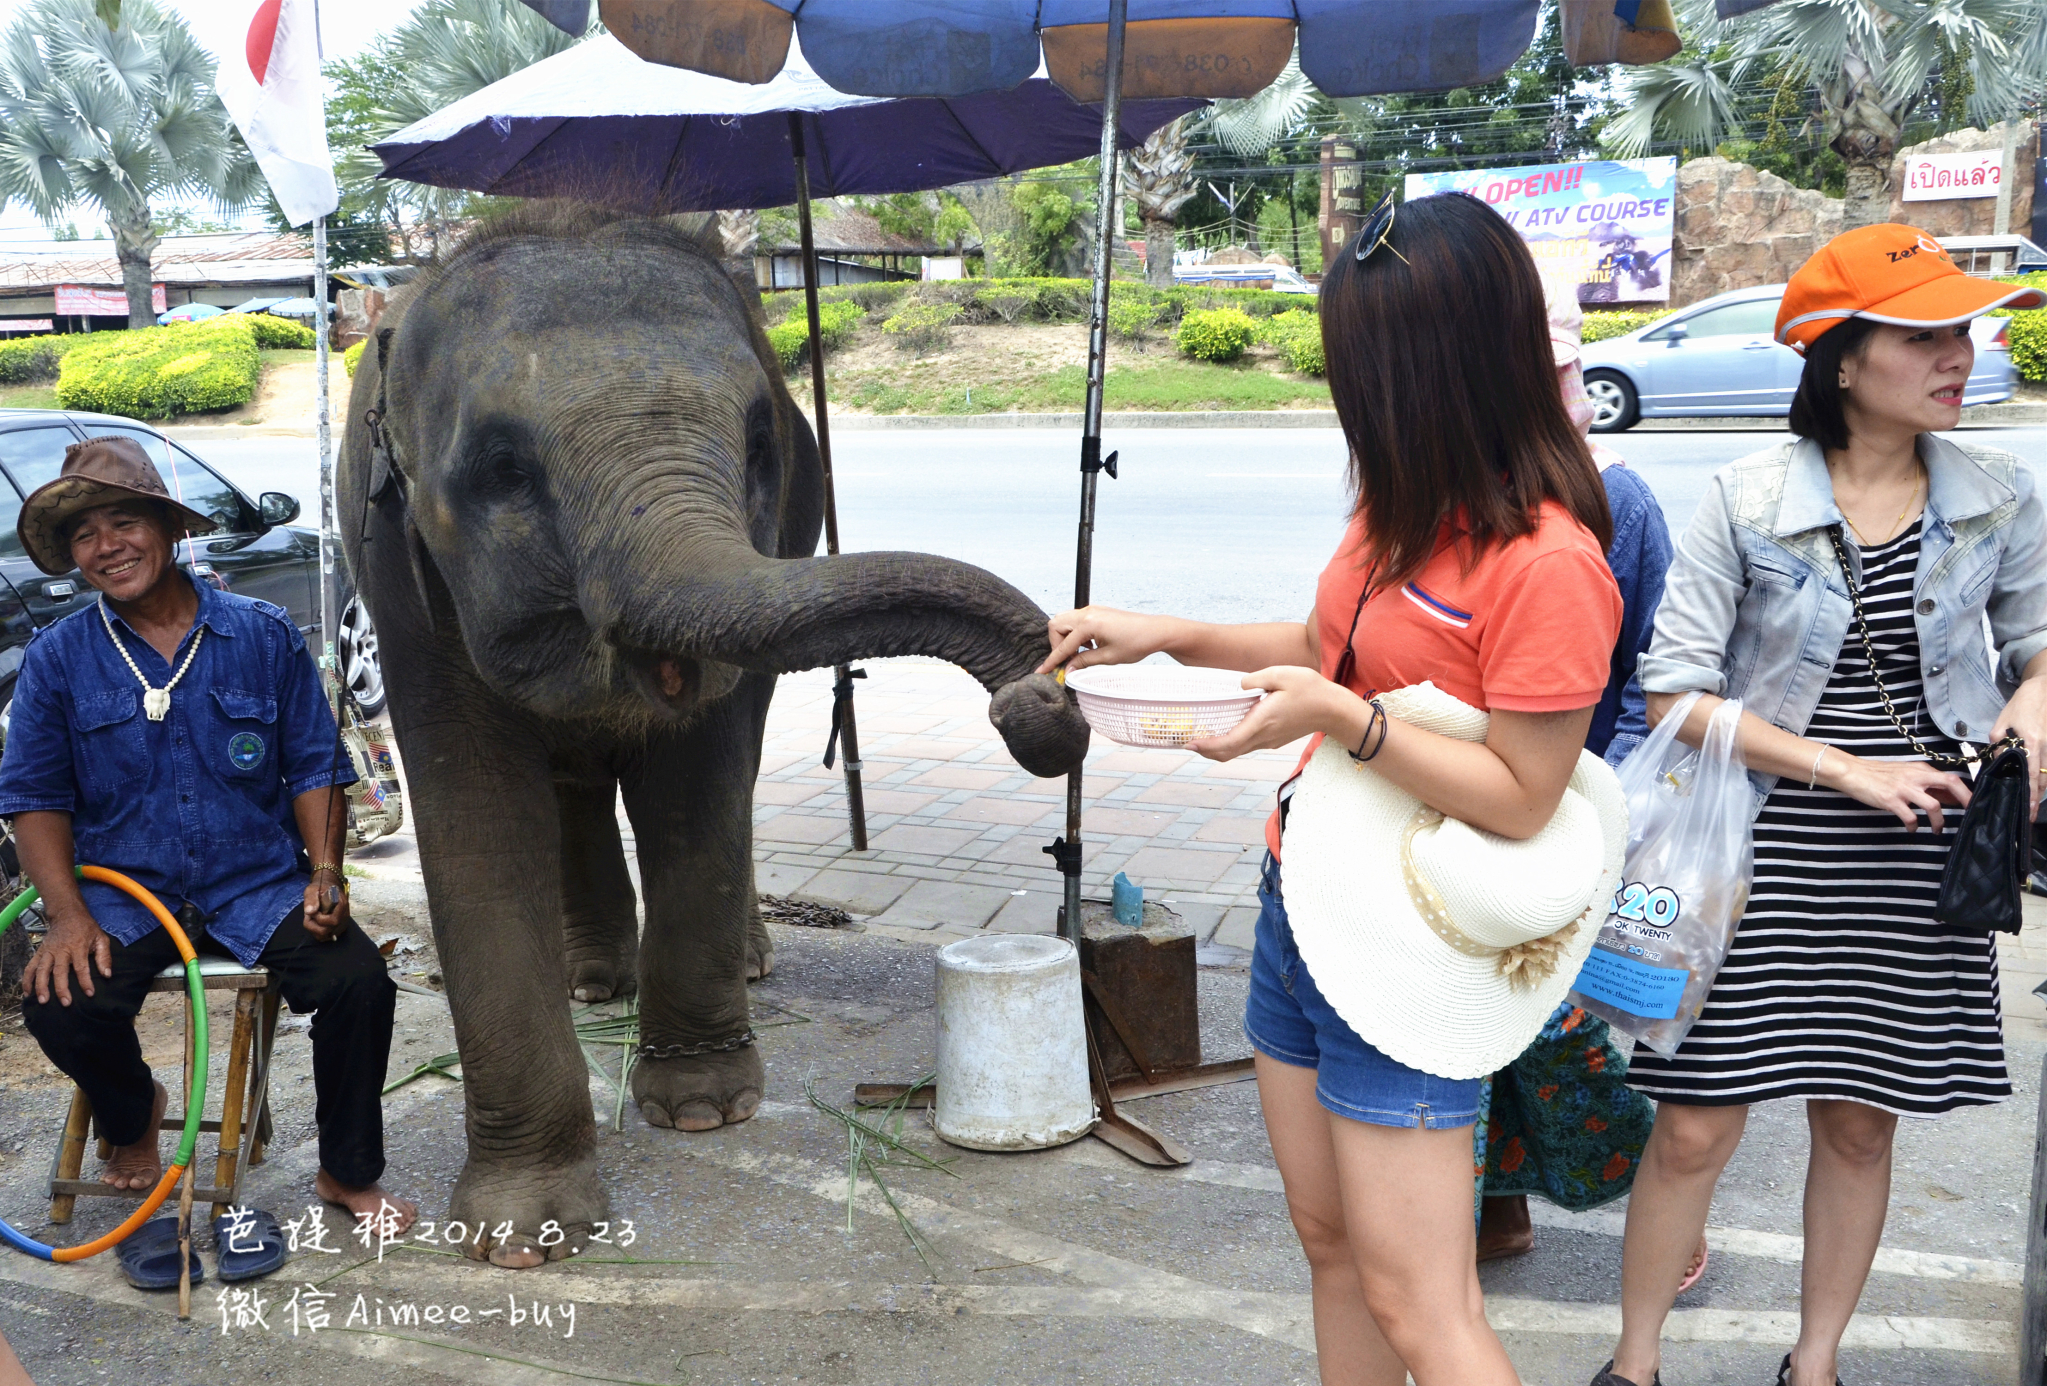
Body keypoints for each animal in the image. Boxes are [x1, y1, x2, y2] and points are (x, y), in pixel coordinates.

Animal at [343, 205, 1097, 1261]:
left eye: (756, 445)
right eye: (503, 470)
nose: (1039, 710)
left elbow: (695, 783)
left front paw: (704, 1113)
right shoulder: (401, 583)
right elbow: (479, 824)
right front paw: (523, 1237)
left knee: (727, 772)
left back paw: (739, 962)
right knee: (577, 789)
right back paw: (593, 982)